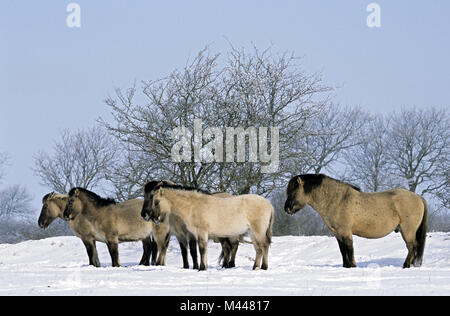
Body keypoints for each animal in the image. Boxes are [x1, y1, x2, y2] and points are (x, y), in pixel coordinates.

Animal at [141, 181, 274, 270]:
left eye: (155, 201)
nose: (149, 217)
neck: (193, 205)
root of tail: (269, 204)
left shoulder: (201, 233)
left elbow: (201, 249)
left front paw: (201, 267)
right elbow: (200, 250)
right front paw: (202, 266)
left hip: (258, 231)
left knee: (264, 246)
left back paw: (264, 267)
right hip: (251, 232)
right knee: (258, 249)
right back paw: (255, 267)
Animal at [284, 174, 428, 268]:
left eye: (293, 192)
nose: (287, 208)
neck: (337, 200)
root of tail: (418, 197)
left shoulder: (345, 232)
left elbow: (349, 248)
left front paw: (353, 266)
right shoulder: (337, 233)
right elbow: (342, 250)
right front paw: (346, 266)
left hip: (407, 230)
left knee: (412, 246)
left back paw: (406, 265)